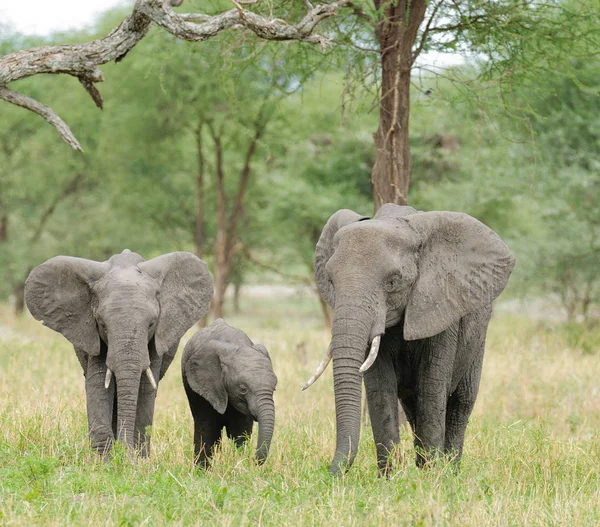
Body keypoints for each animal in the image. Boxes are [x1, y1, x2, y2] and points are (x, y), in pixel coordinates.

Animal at [25, 250, 213, 456]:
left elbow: (145, 386)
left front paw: (134, 460)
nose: (124, 451)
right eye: (102, 325)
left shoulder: (157, 339)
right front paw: (105, 460)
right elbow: (99, 382)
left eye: (151, 324)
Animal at [182, 320, 278, 468]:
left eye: (274, 389)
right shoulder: (204, 386)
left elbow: (240, 430)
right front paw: (201, 470)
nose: (255, 460)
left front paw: (239, 463)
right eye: (243, 389)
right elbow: (207, 426)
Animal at [304, 204, 516, 476]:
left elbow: (432, 386)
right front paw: (390, 478)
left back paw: (450, 470)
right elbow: (379, 387)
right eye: (330, 280)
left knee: (461, 402)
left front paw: (433, 477)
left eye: (393, 282)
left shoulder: (441, 304)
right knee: (412, 404)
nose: (331, 475)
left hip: (478, 338)